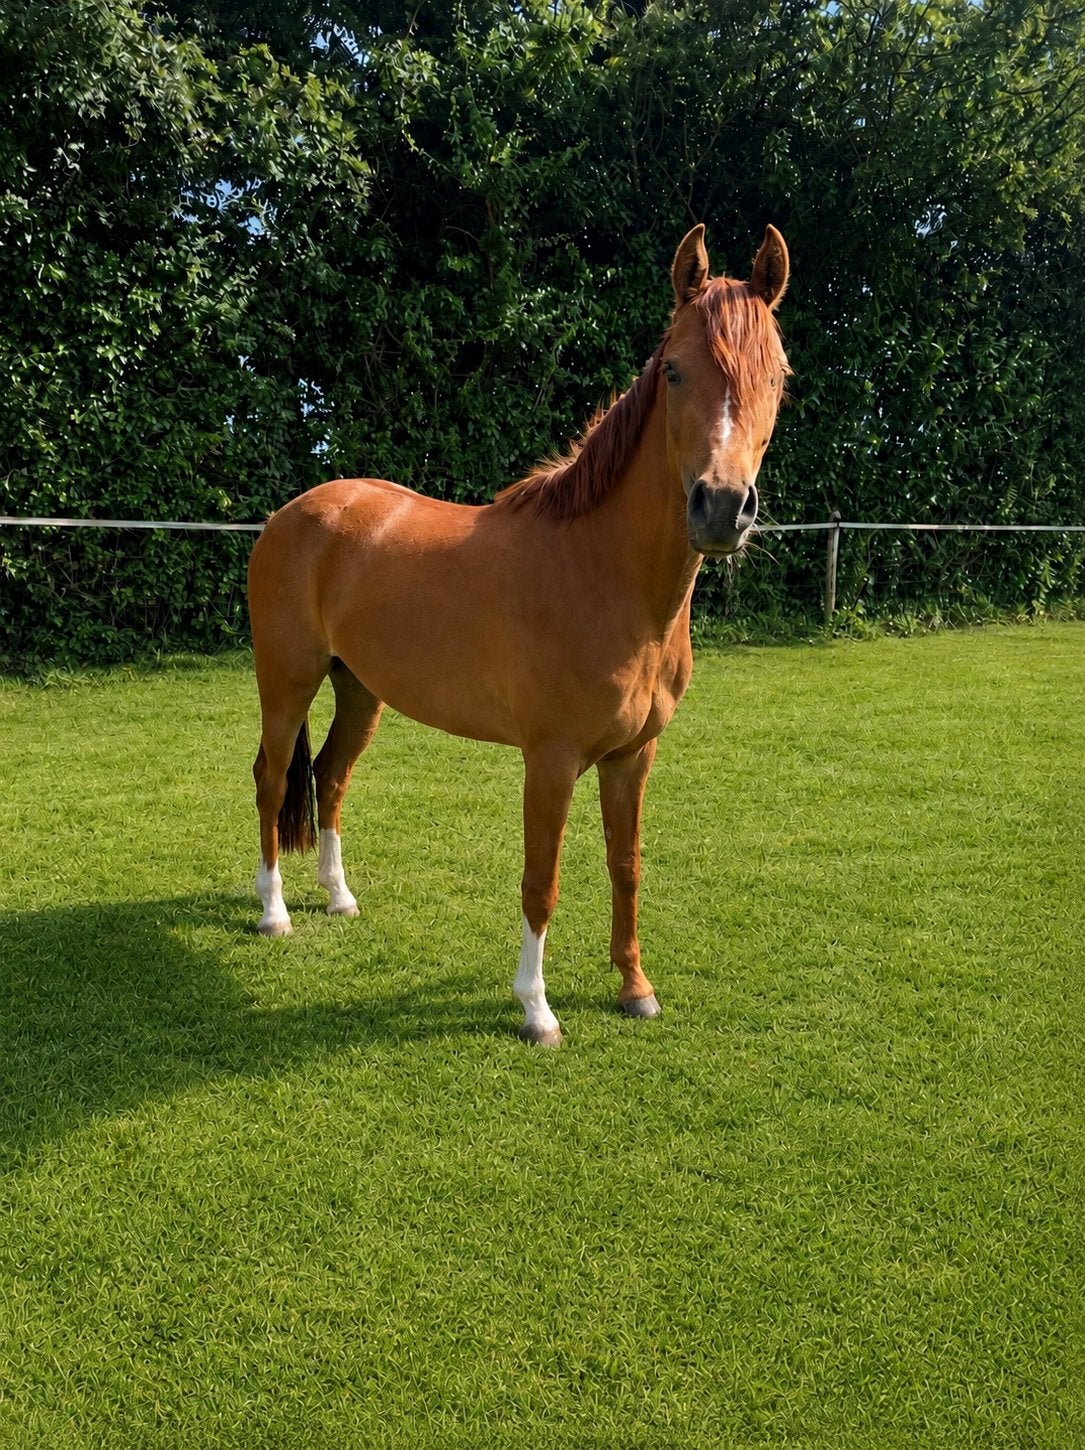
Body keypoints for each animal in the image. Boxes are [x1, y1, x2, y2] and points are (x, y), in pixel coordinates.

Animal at [247, 223, 790, 1045]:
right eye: (673, 371)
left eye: (778, 377)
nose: (722, 507)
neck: (602, 575)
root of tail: (296, 512)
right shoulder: (551, 759)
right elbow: (543, 880)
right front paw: (536, 1009)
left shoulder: (632, 756)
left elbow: (625, 865)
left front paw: (634, 987)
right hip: (287, 683)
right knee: (275, 778)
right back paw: (274, 912)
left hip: (360, 691)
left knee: (330, 778)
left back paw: (339, 897)